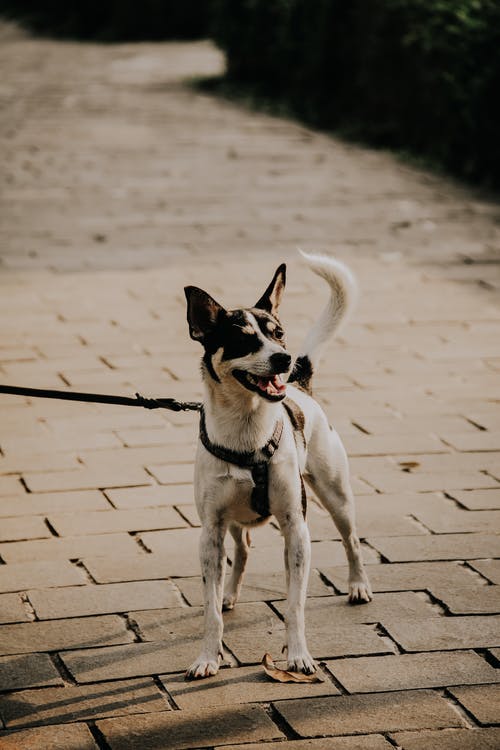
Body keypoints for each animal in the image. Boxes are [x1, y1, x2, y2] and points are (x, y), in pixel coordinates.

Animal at [184, 253, 372, 680]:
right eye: (243, 340)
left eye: (279, 333)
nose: (284, 358)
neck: (247, 430)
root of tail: (301, 385)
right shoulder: (210, 533)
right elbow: (209, 610)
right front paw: (207, 657)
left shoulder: (296, 529)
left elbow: (294, 605)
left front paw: (299, 656)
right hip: (233, 522)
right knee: (243, 549)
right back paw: (230, 594)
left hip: (335, 494)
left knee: (351, 538)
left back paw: (357, 585)